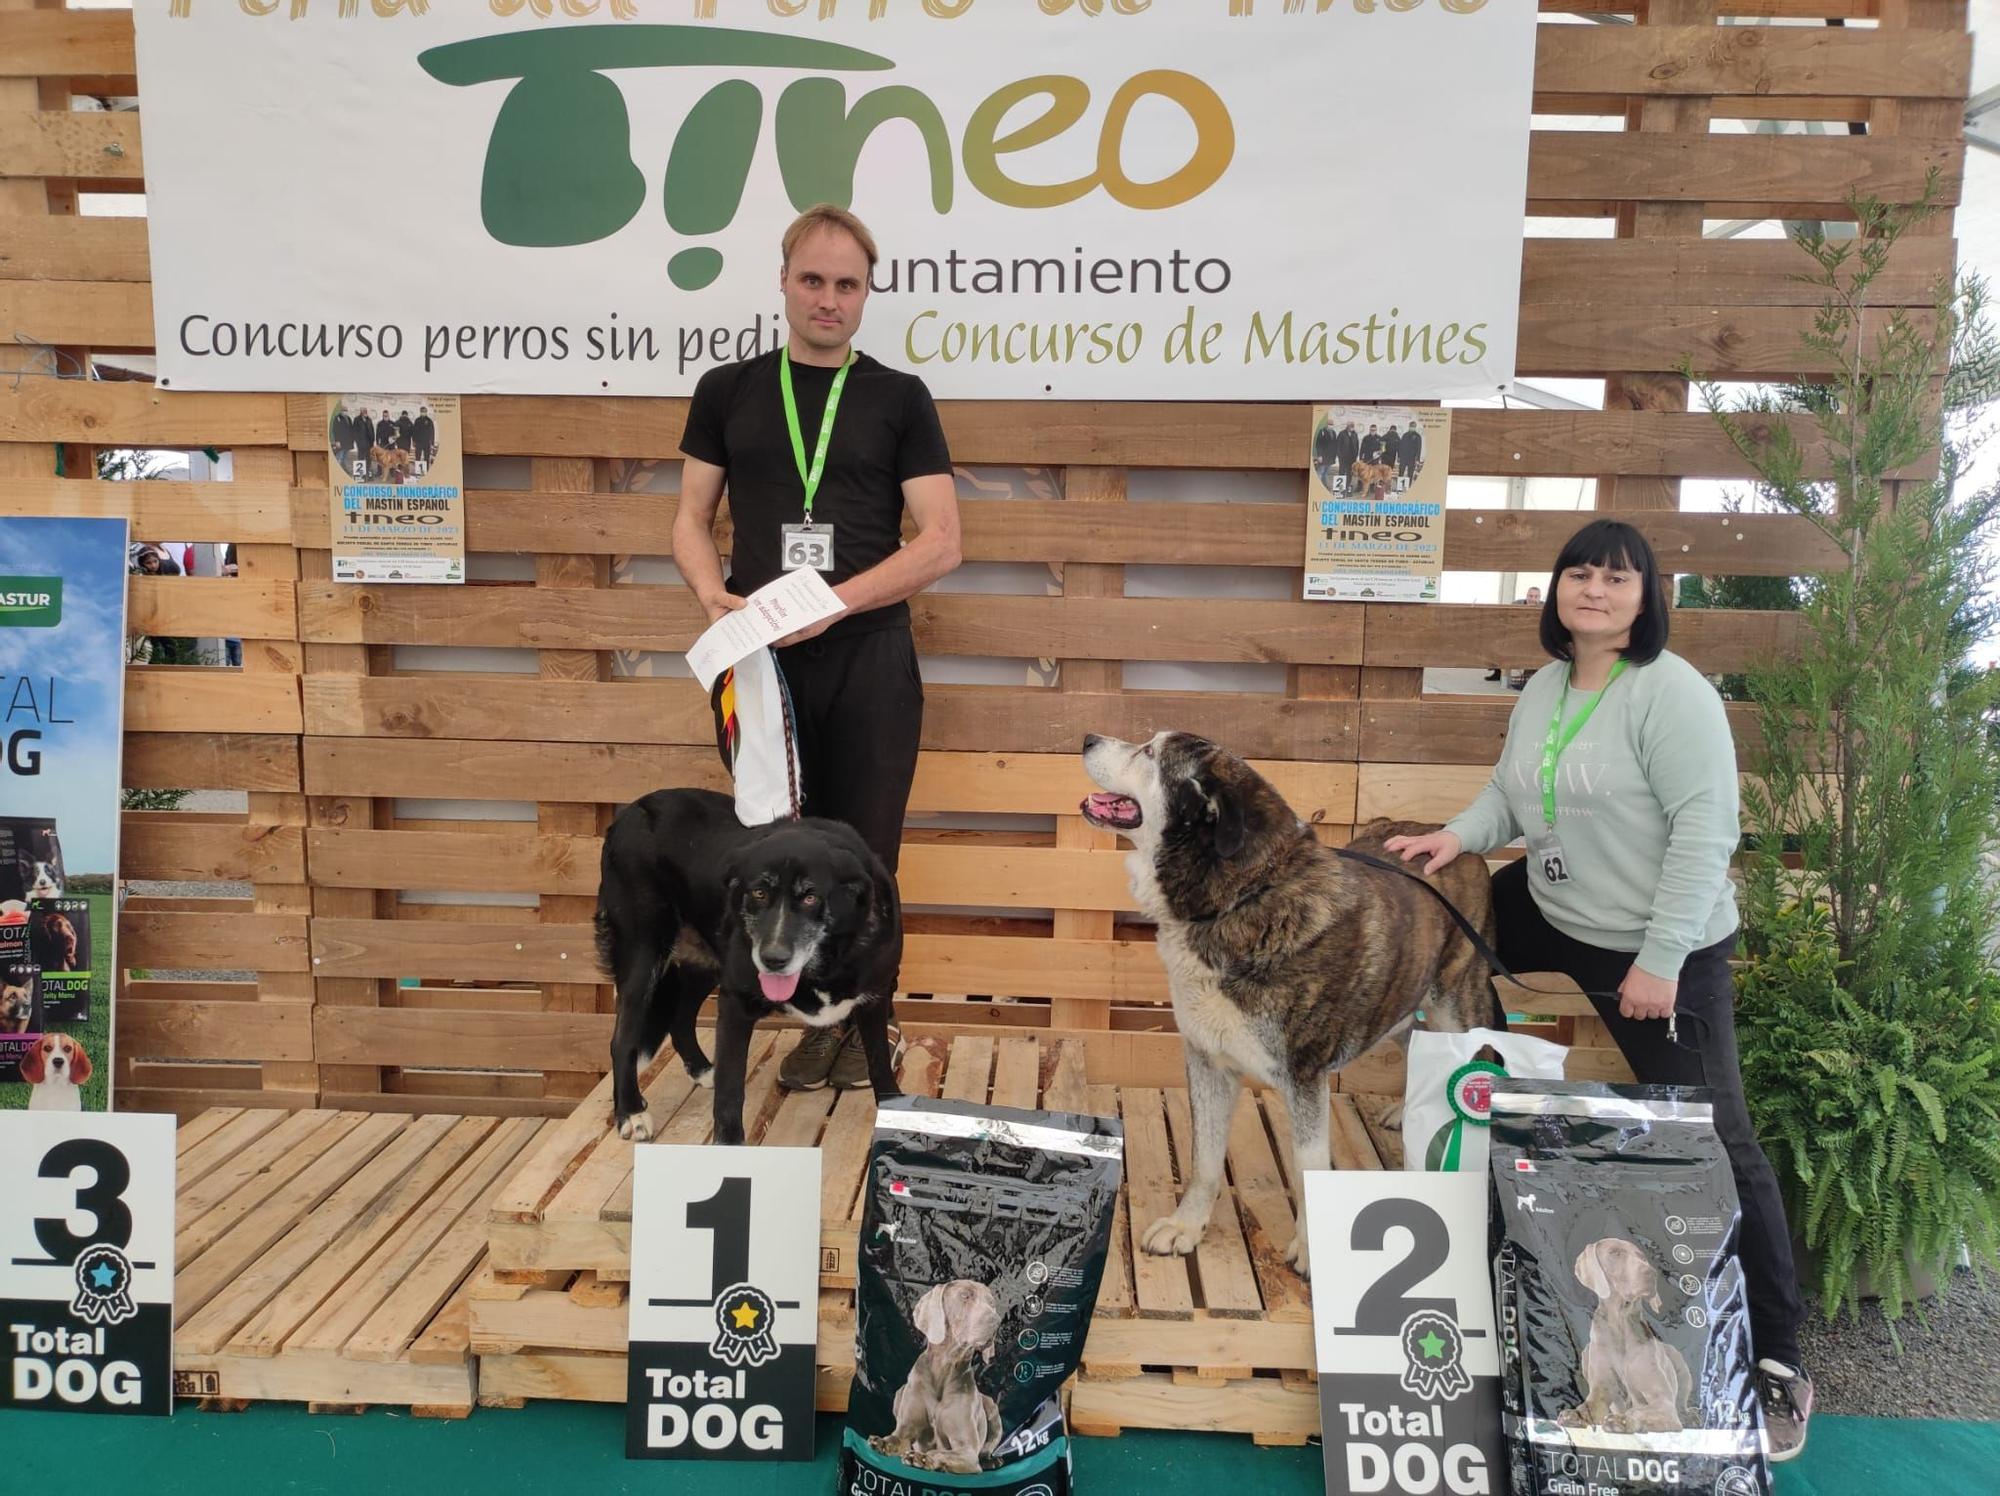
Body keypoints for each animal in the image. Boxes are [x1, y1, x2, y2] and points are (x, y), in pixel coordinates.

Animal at [592, 796, 908, 1144]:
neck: (827, 961)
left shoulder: (874, 998)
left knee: (681, 1017)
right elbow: (730, 1093)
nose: (773, 959)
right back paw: (630, 1111)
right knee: (622, 1040)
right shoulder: (736, 1002)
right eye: (758, 893)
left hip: (706, 961)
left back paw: (703, 1071)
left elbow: (879, 1064)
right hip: (642, 954)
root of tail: (629, 812)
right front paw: (729, 1142)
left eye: (811, 897)